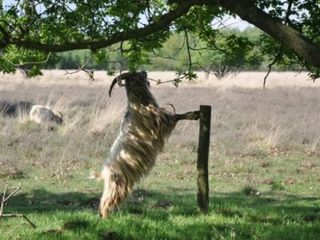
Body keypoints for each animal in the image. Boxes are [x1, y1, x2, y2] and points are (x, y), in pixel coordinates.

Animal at [99, 71, 199, 218]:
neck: (139, 103)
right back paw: (106, 217)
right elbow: (177, 116)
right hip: (118, 183)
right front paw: (195, 114)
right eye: (135, 74)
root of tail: (105, 171)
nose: (144, 71)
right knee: (107, 201)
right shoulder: (161, 121)